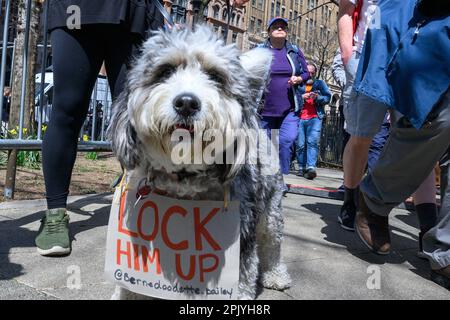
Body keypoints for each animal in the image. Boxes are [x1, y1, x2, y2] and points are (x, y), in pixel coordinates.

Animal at [108, 25, 292, 300]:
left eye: (215, 77)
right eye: (165, 71)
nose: (186, 103)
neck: (184, 176)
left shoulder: (242, 228)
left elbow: (243, 274)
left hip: (270, 210)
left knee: (272, 244)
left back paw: (276, 276)